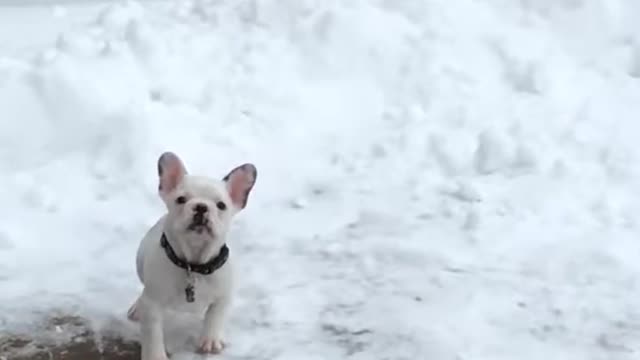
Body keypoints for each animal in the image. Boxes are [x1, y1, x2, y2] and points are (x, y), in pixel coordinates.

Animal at [127, 150, 258, 358]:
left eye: (221, 205)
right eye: (181, 199)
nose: (201, 206)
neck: (194, 265)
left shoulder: (223, 297)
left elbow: (215, 316)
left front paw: (210, 339)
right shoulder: (153, 305)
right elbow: (153, 334)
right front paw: (155, 355)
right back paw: (137, 307)